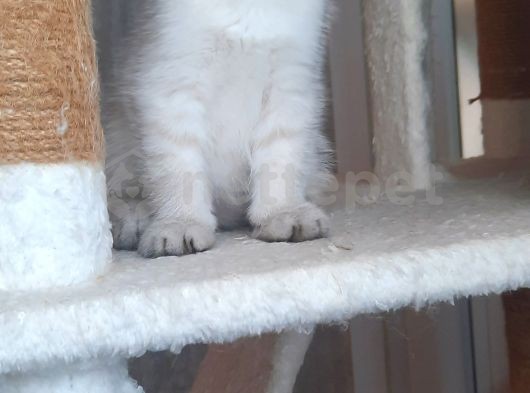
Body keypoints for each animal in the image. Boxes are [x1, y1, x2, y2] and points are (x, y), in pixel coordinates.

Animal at [104, 0, 332, 258]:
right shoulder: (173, 86)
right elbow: (180, 170)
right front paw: (181, 222)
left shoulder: (289, 85)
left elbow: (282, 161)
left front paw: (283, 212)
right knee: (123, 195)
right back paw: (132, 222)